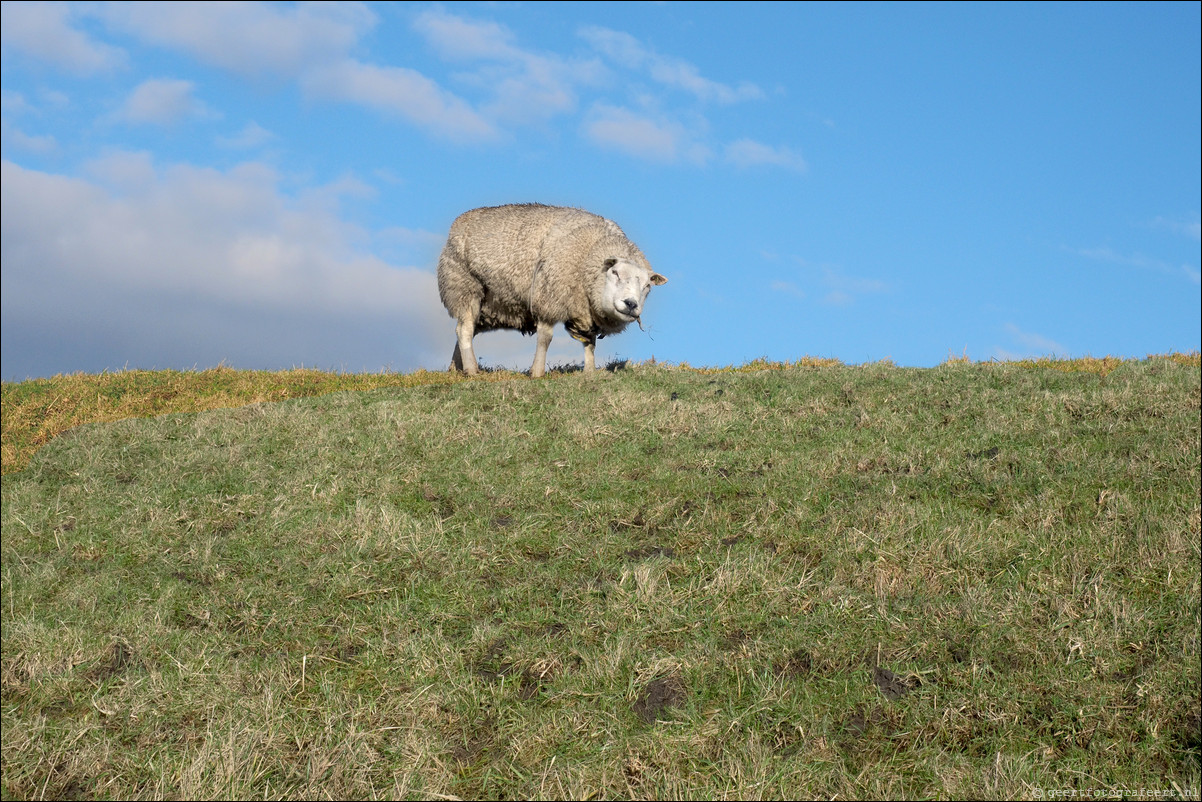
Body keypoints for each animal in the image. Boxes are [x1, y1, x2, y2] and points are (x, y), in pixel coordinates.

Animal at [437, 202, 673, 377]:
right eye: (614, 273)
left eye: (647, 285)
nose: (631, 304)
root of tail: (460, 221)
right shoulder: (548, 299)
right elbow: (546, 338)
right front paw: (537, 372)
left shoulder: (586, 312)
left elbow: (590, 343)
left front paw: (589, 372)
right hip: (464, 287)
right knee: (464, 330)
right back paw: (471, 369)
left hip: (490, 305)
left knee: (464, 330)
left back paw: (454, 369)